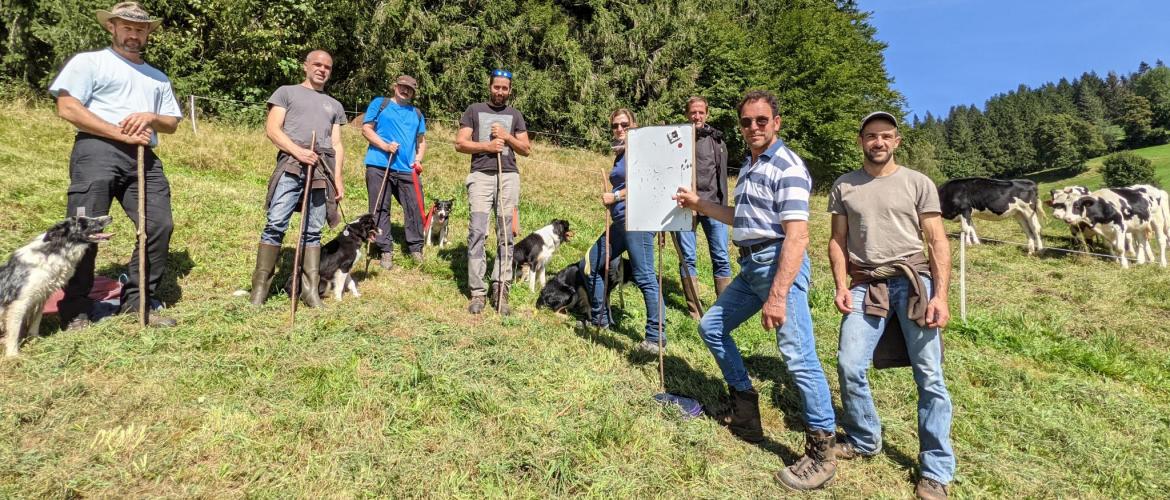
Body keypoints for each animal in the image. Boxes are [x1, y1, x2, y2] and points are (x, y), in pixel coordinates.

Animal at [1, 215, 111, 355]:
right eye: (84, 223)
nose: (110, 217)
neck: (54, 252)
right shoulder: (19, 303)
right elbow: (13, 333)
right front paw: (13, 355)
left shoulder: (41, 298)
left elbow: (35, 323)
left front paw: (35, 340)